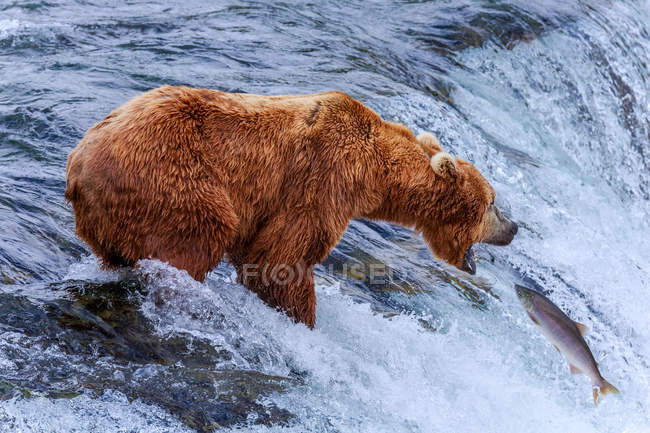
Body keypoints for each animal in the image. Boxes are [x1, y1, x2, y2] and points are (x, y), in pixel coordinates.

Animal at [66, 85, 516, 328]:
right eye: (493, 201)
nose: (514, 228)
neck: (375, 174)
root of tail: (77, 163)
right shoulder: (322, 181)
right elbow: (281, 258)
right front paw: (301, 317)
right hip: (170, 178)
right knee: (199, 235)